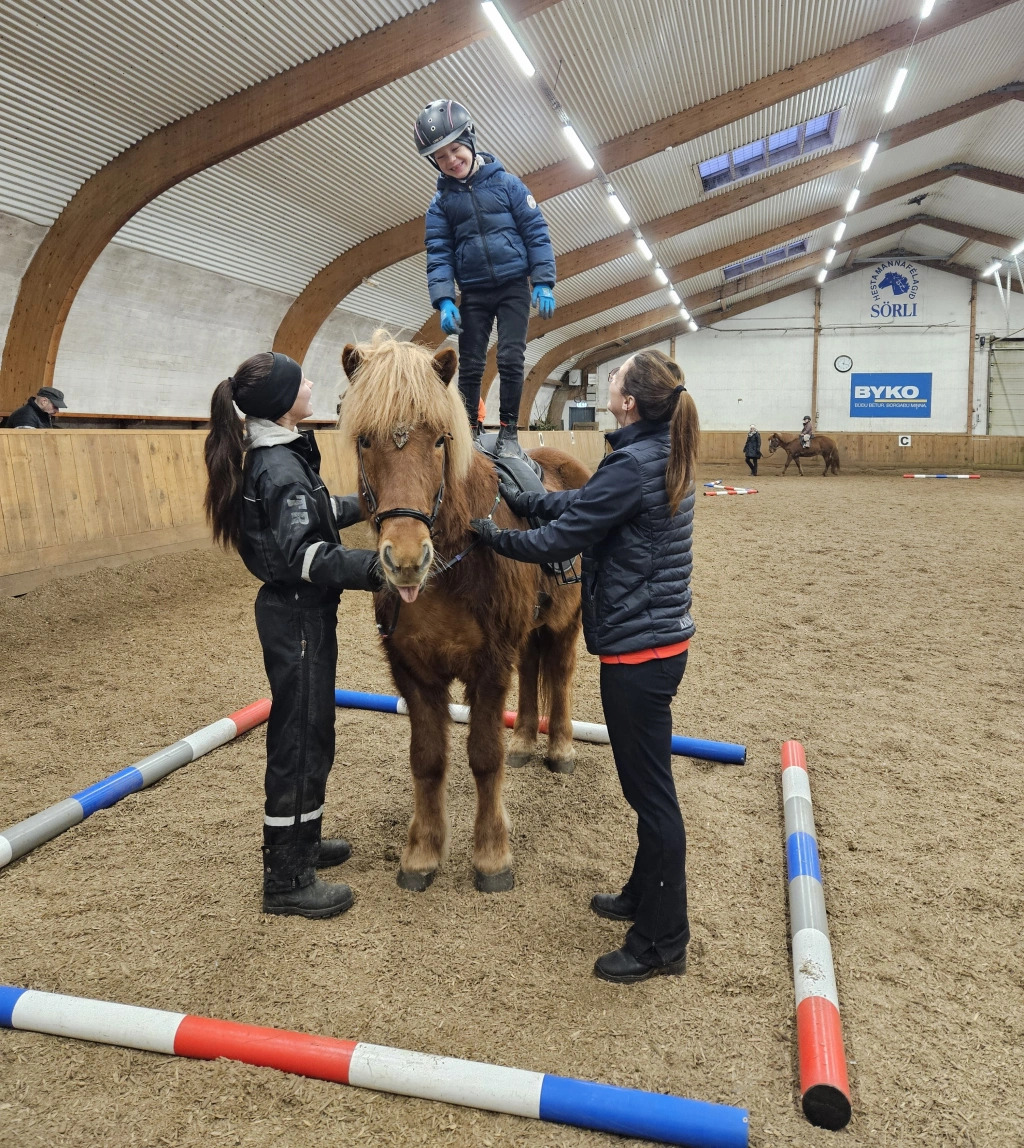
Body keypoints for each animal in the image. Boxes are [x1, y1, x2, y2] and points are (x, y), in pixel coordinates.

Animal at [339, 332, 589, 894]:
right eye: (365, 440)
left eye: (439, 441)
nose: (407, 559)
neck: (451, 565)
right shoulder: (413, 671)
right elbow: (428, 760)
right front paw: (421, 854)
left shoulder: (489, 666)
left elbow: (483, 757)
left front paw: (492, 856)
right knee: (534, 672)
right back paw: (525, 740)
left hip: (566, 623)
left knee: (560, 676)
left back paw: (560, 749)